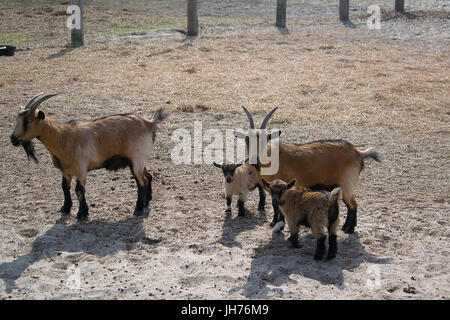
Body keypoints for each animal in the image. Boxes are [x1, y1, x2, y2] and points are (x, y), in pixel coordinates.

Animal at [10, 92, 169, 220]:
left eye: (28, 121)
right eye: (18, 118)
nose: (13, 139)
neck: (63, 137)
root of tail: (148, 123)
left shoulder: (81, 169)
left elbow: (79, 190)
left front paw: (82, 213)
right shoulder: (65, 170)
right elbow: (64, 187)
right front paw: (65, 208)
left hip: (136, 160)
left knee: (141, 181)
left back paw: (138, 208)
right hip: (139, 161)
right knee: (148, 176)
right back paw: (147, 201)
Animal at [236, 106, 380, 234]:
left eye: (265, 139)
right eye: (247, 139)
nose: (253, 159)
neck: (272, 156)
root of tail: (358, 153)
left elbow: (280, 207)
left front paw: (279, 225)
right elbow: (274, 205)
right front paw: (273, 222)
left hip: (347, 184)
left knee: (353, 205)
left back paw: (349, 230)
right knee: (351, 204)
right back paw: (346, 227)